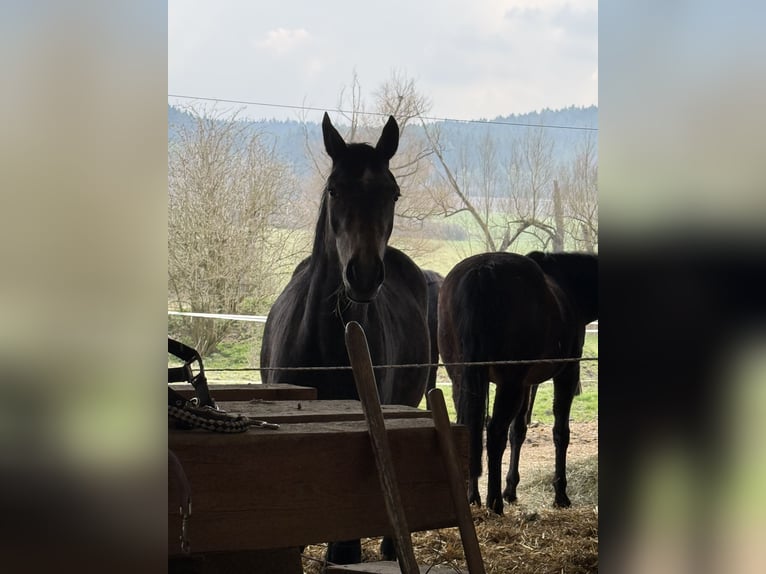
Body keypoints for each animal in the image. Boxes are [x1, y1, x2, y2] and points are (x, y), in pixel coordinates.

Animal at [437, 250, 598, 514]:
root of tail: (481, 272)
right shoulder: (567, 373)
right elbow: (560, 432)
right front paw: (560, 495)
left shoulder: (527, 383)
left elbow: (518, 431)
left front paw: (511, 490)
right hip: (508, 384)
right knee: (494, 433)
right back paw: (494, 503)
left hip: (463, 379)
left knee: (470, 427)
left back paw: (474, 498)